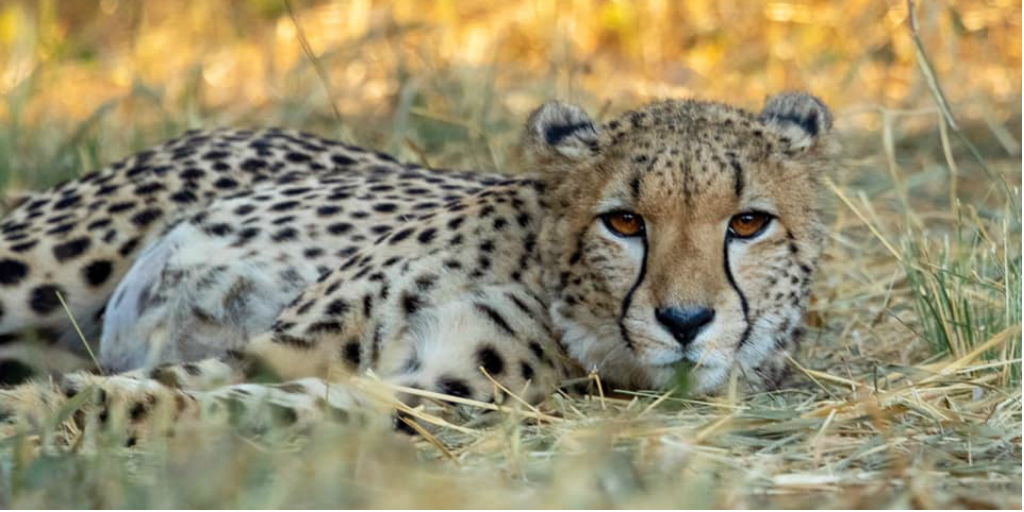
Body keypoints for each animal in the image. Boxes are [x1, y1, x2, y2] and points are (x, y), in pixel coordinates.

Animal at [0, 93, 831, 436]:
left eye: (748, 223)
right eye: (624, 221)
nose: (686, 321)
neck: (538, 276)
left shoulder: (419, 394)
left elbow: (188, 403)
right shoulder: (278, 348)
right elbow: (154, 386)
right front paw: (36, 410)